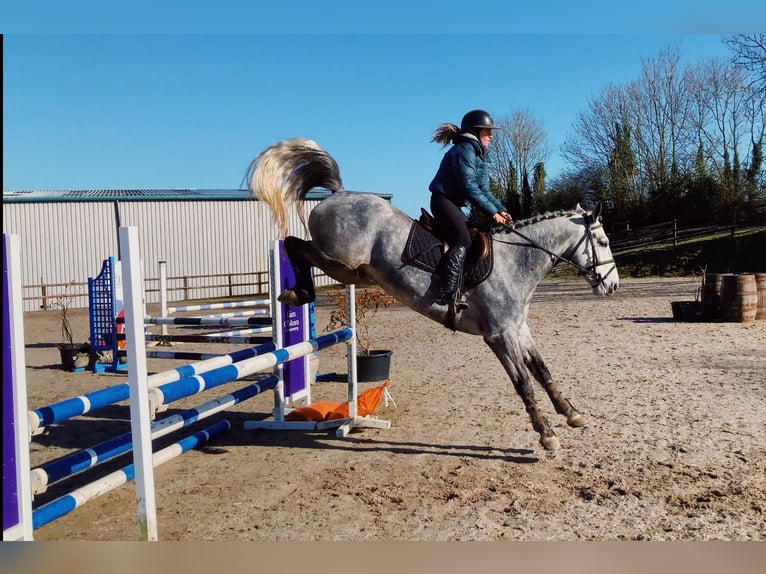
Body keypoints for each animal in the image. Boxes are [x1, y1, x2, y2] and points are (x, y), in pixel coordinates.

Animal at [246, 138, 619, 452]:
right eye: (602, 242)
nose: (612, 286)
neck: (517, 260)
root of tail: (340, 193)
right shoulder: (499, 335)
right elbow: (524, 382)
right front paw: (547, 435)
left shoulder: (518, 328)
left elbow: (542, 371)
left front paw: (571, 413)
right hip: (341, 261)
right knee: (295, 244)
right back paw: (296, 292)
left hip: (349, 269)